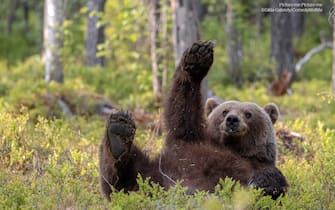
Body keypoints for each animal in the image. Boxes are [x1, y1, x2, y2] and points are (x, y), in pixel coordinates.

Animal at [98, 40, 288, 201]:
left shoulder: (258, 165)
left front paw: (259, 185)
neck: (232, 147)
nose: (232, 120)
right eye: (224, 111)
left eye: (248, 113)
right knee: (125, 177)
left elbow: (272, 182)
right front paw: (197, 58)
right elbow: (182, 111)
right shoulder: (188, 143)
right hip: (155, 177)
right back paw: (119, 133)